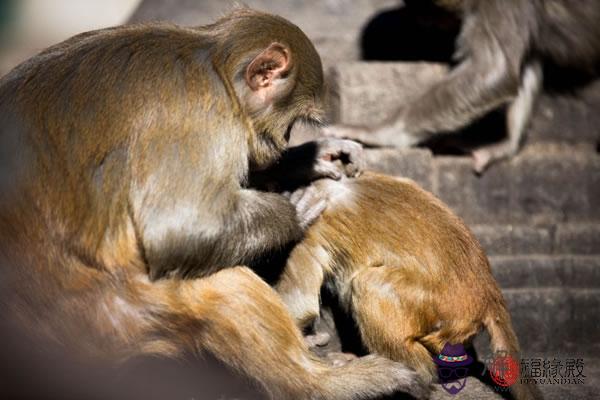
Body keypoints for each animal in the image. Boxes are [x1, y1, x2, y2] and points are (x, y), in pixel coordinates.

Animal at [0, 9, 426, 400]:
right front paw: (295, 212)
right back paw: (321, 384)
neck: (214, 62)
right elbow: (183, 229)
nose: (284, 140)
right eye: (292, 120)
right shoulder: (196, 114)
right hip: (113, 323)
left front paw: (313, 158)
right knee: (217, 280)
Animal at [276, 172, 544, 400]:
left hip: (439, 307)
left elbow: (300, 303)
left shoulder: (302, 234)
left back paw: (407, 375)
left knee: (369, 284)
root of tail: (488, 295)